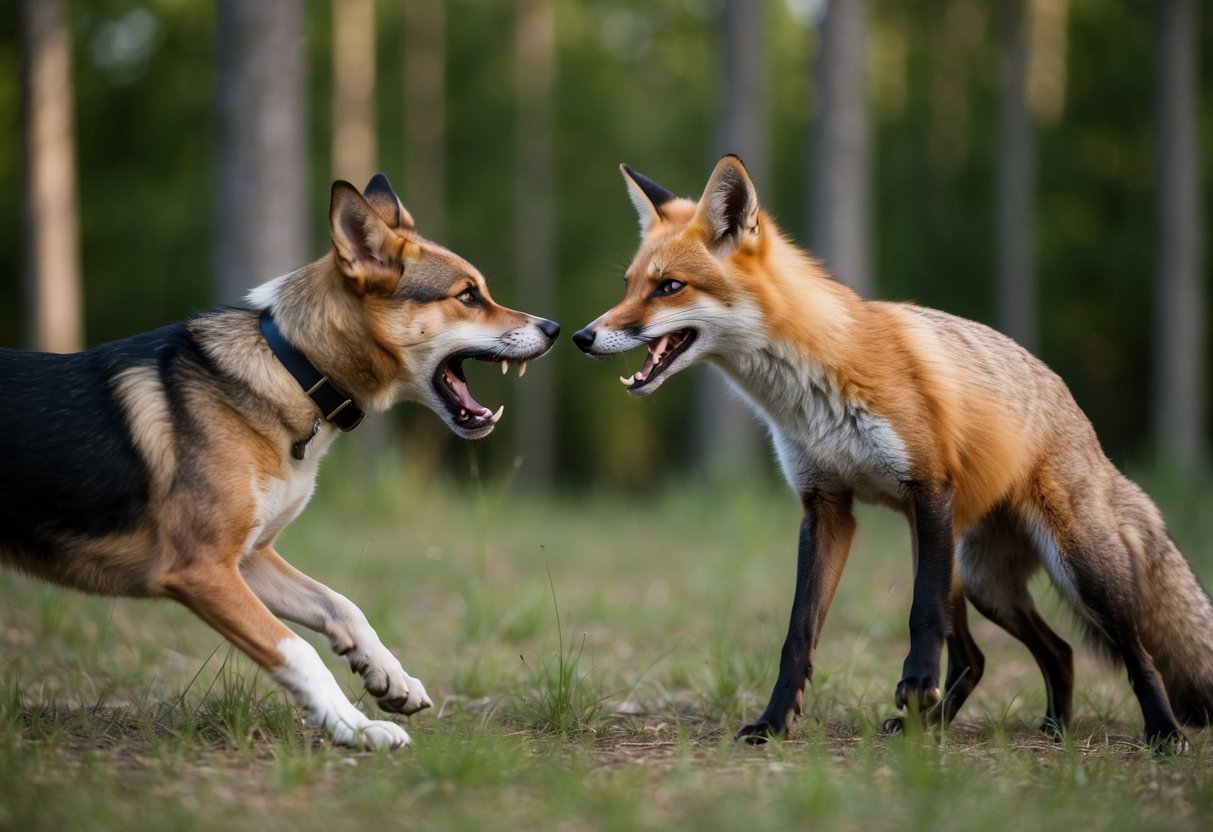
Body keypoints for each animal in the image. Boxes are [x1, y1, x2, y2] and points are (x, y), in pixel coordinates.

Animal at [0, 173, 559, 749]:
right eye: (468, 296)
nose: (557, 329)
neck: (294, 368)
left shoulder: (250, 558)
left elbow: (342, 605)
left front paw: (388, 676)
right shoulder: (200, 567)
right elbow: (299, 650)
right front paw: (356, 728)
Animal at [572, 154, 1213, 748]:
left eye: (669, 287)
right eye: (629, 285)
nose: (581, 336)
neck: (807, 393)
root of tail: (1081, 421)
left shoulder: (927, 486)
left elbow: (918, 614)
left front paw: (915, 682)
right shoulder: (825, 506)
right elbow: (798, 635)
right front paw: (774, 723)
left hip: (1069, 569)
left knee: (1134, 652)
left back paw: (1162, 731)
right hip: (978, 579)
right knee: (1024, 655)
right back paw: (1015, 727)